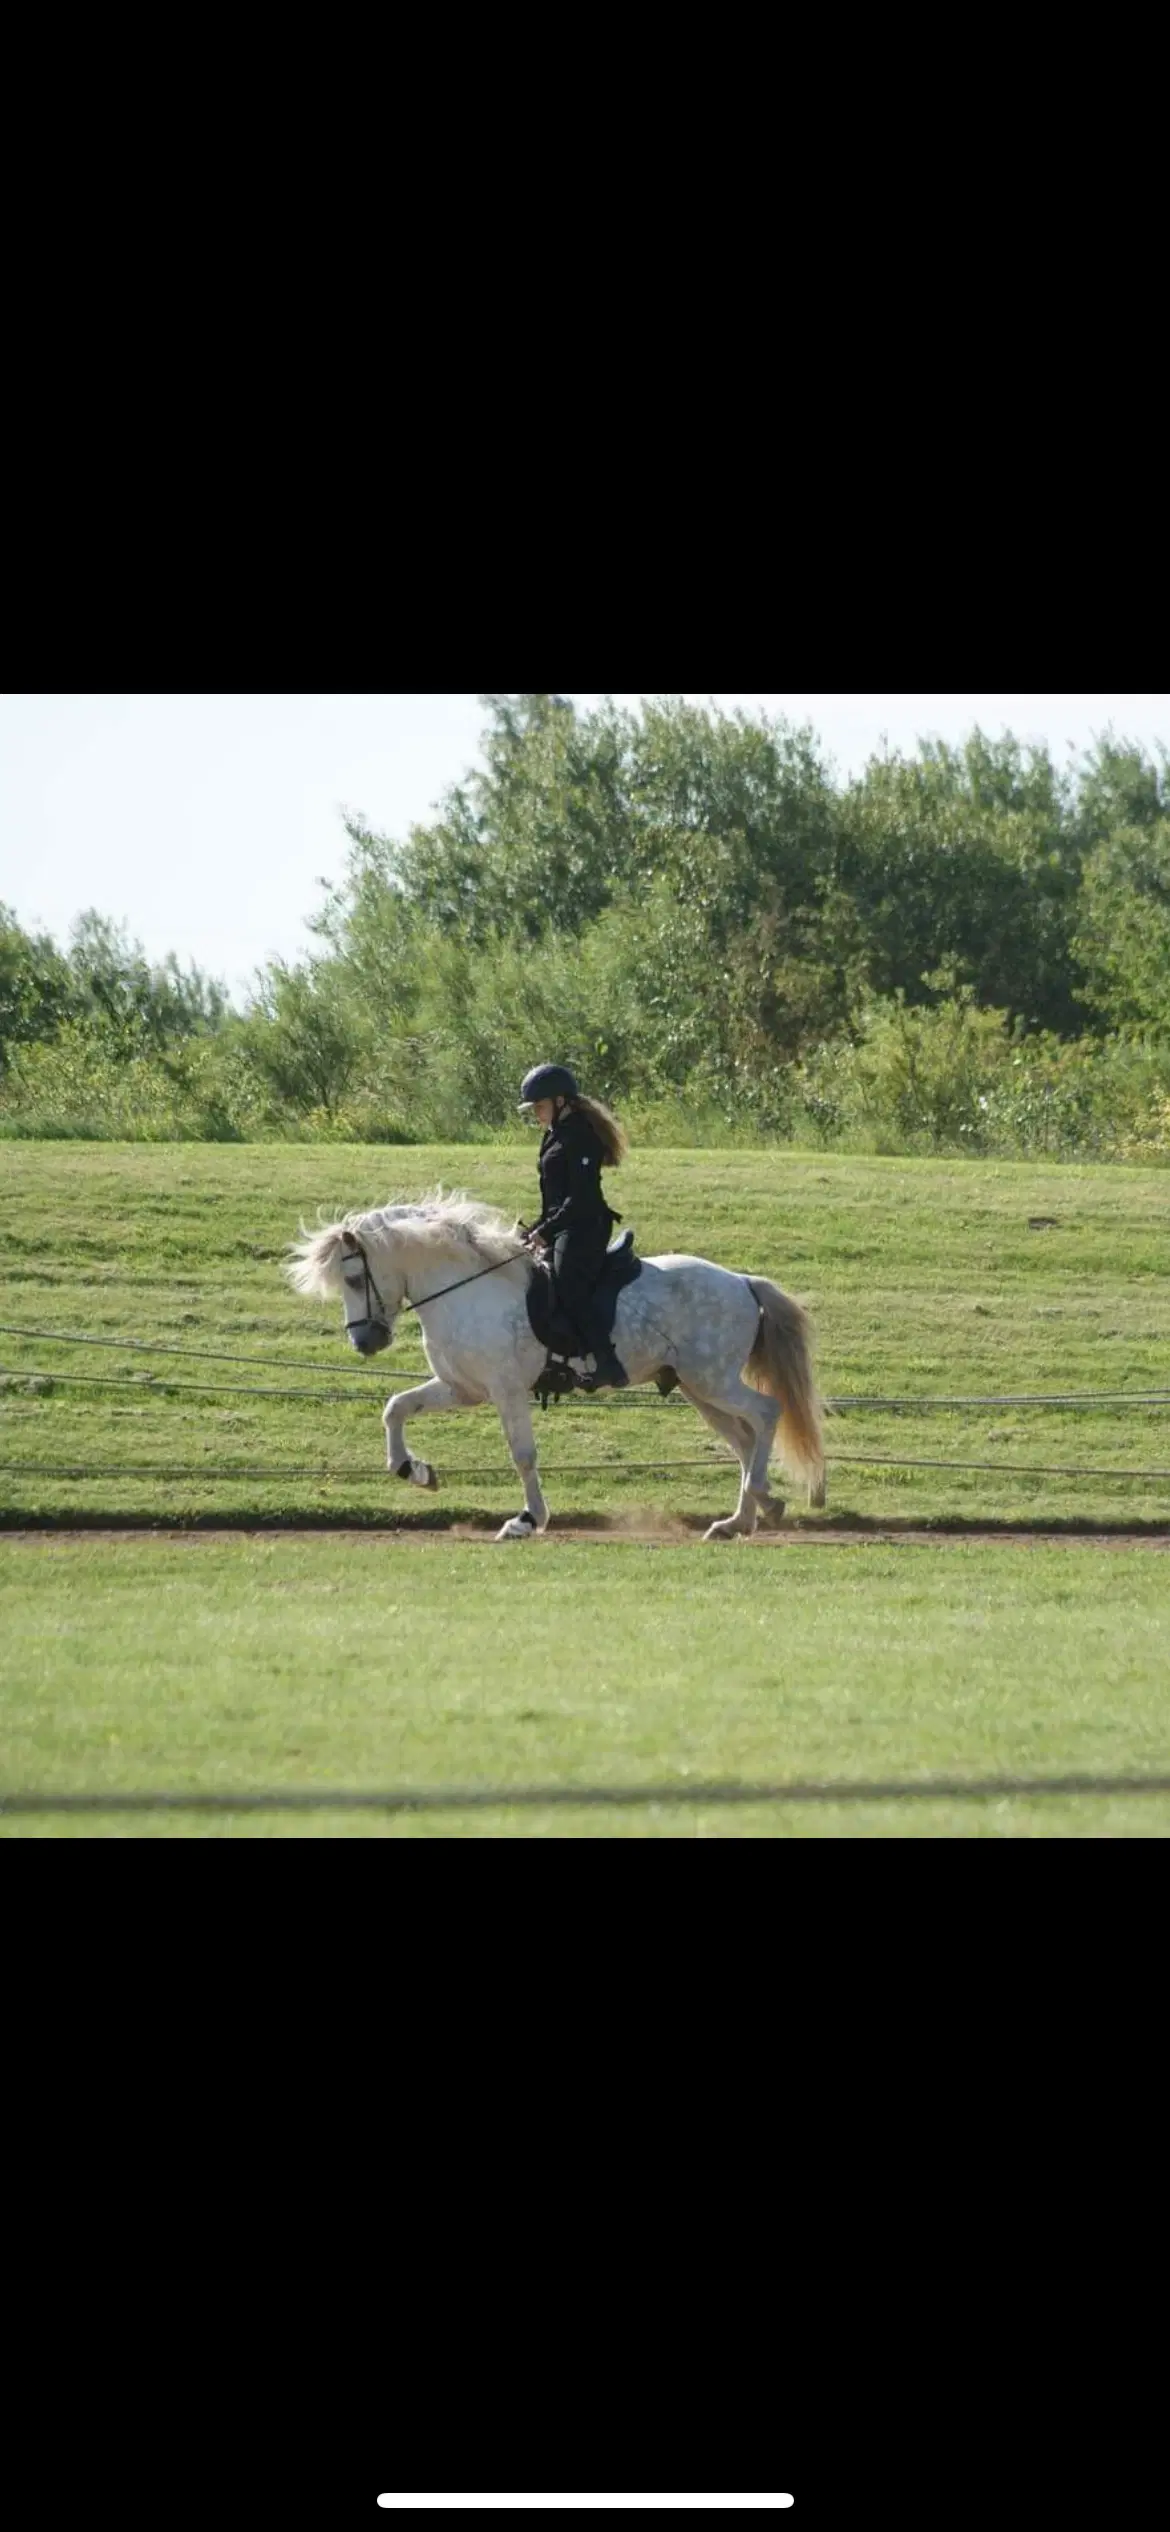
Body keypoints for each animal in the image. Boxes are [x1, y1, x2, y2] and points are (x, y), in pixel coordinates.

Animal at [287, 1190, 825, 1539]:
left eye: (353, 1278)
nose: (365, 1342)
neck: (465, 1289)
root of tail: (741, 1281)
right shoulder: (460, 1388)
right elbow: (396, 1408)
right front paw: (413, 1470)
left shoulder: (505, 1391)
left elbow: (523, 1454)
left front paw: (528, 1521)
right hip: (699, 1389)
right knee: (745, 1439)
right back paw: (740, 1520)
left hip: (712, 1381)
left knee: (766, 1414)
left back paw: (763, 1497)